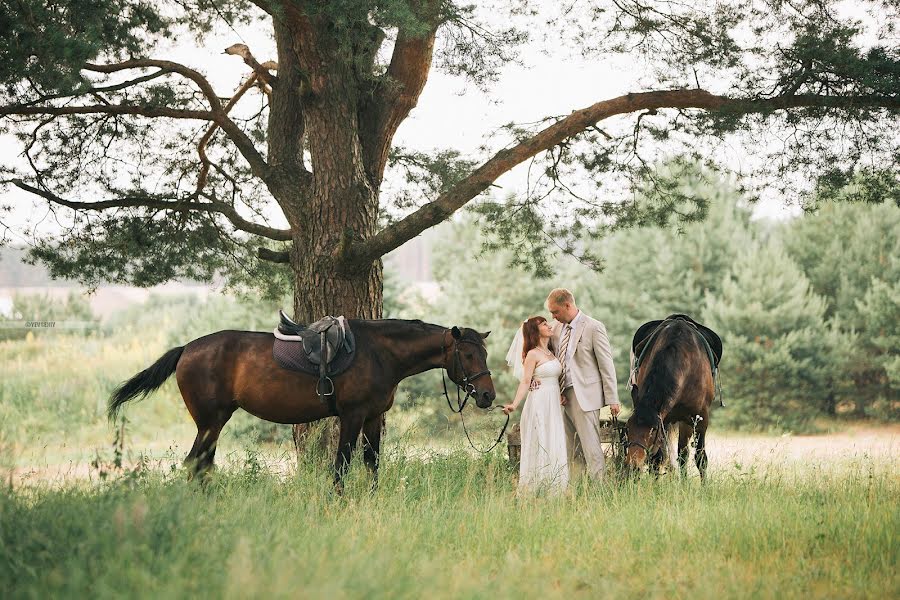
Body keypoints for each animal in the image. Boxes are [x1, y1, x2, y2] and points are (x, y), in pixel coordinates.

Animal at [110, 322, 500, 486]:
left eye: (484, 353)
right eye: (467, 354)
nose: (487, 395)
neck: (379, 352)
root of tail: (187, 349)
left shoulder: (373, 417)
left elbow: (372, 463)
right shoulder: (352, 416)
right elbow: (342, 465)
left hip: (213, 423)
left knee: (202, 464)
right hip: (210, 421)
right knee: (196, 463)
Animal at [624, 316, 716, 480]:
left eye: (652, 431)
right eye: (627, 428)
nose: (633, 467)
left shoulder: (701, 419)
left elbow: (700, 459)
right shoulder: (664, 421)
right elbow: (656, 459)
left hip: (686, 422)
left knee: (683, 454)